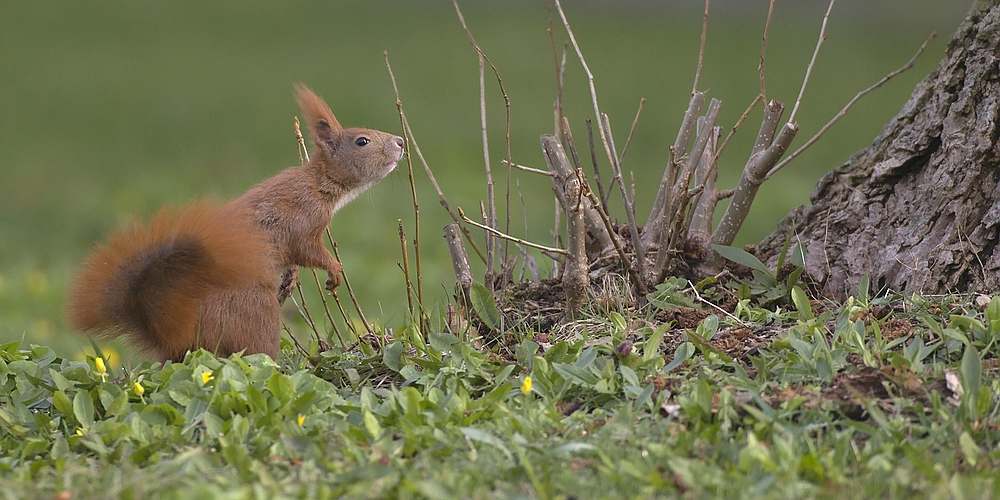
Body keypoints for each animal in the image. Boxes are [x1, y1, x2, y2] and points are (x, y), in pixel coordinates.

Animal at [66, 85, 404, 360]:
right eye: (362, 141)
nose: (400, 141)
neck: (319, 183)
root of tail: (179, 339)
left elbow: (295, 260)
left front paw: (292, 279)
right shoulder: (301, 218)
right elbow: (307, 250)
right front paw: (335, 271)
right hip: (256, 315)